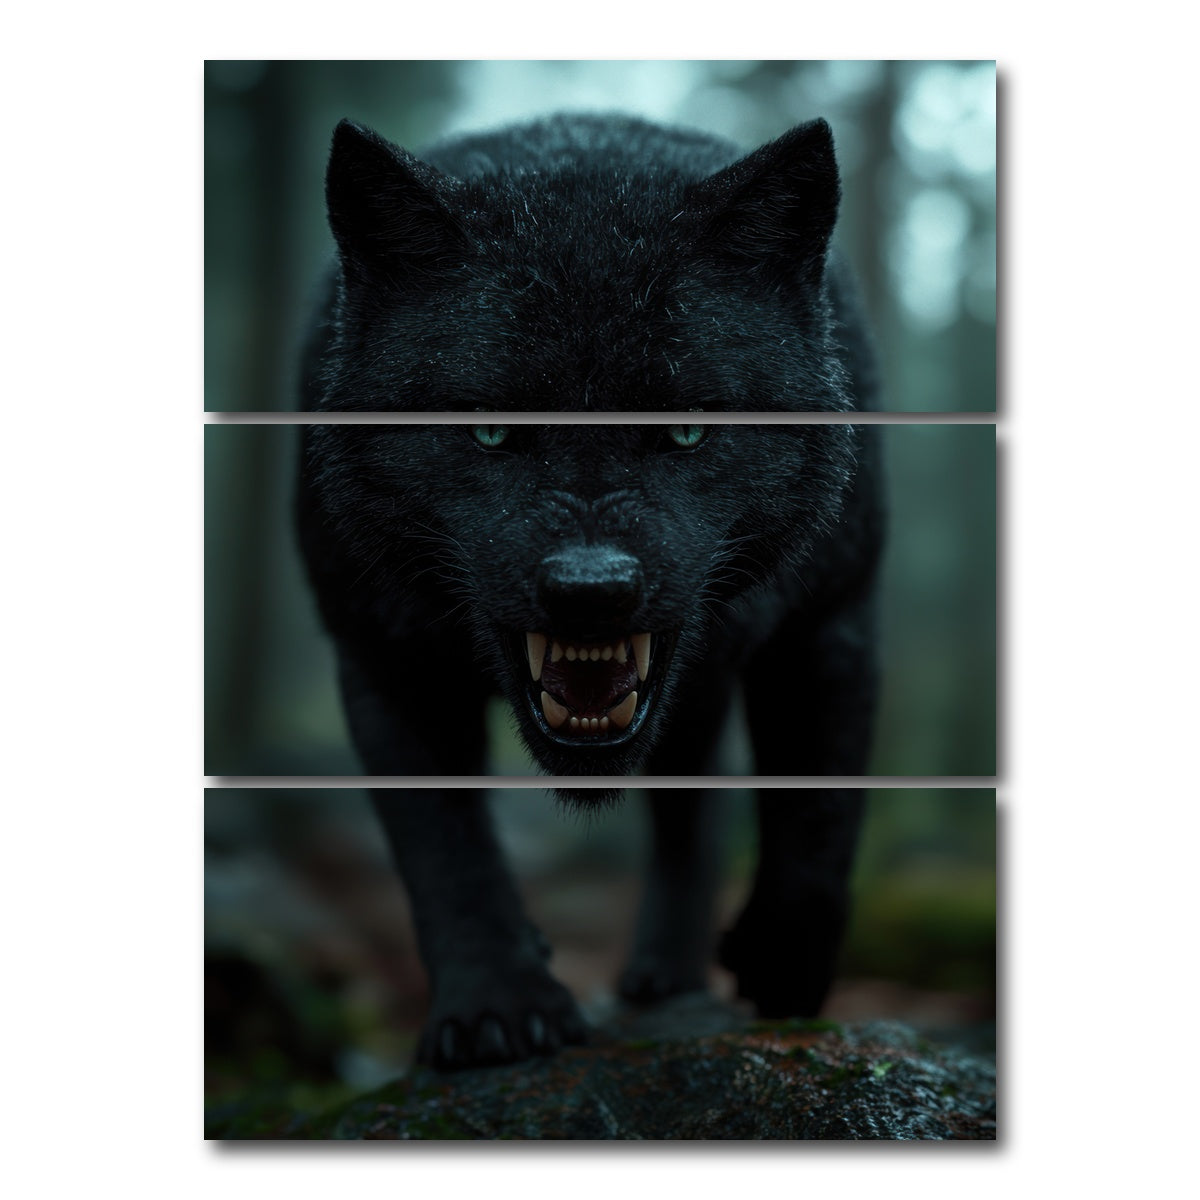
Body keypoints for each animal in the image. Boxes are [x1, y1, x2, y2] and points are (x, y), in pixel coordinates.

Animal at [297, 115, 884, 1068]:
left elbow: (821, 812)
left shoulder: (831, 621)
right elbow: (443, 848)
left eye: (687, 430)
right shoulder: (384, 657)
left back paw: (670, 979)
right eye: (488, 431)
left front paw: (783, 969)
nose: (590, 588)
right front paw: (498, 1011)